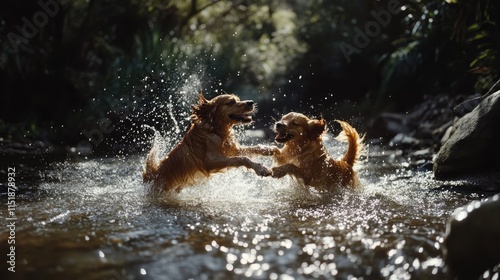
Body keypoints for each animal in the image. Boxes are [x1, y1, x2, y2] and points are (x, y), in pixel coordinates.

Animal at [143, 92, 276, 192]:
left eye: (238, 99)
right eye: (230, 102)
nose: (251, 102)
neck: (215, 129)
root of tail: (153, 175)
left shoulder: (232, 150)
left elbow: (251, 149)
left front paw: (268, 149)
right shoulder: (210, 161)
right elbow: (242, 158)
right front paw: (261, 168)